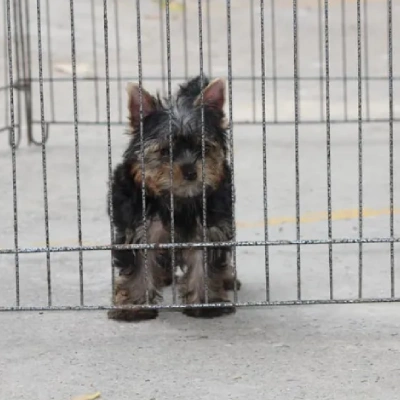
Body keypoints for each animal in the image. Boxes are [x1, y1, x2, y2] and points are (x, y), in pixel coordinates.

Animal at [106, 76, 241, 322]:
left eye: (203, 147)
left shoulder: (208, 228)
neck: (177, 199)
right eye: (165, 151)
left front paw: (205, 304)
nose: (190, 171)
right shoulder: (139, 229)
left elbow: (204, 265)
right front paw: (134, 306)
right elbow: (139, 267)